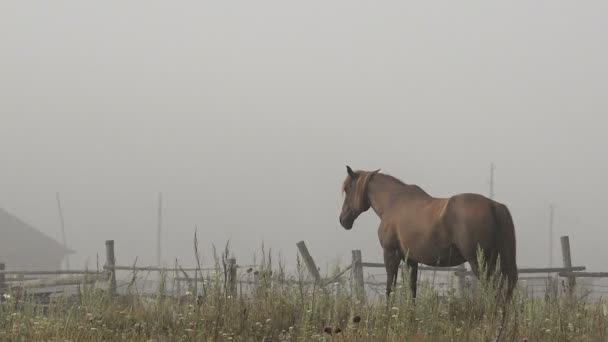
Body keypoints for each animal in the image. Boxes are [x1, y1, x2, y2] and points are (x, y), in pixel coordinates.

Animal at [338, 166, 516, 300]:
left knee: (494, 291)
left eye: (347, 189)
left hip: (480, 262)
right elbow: (412, 291)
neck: (393, 202)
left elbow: (390, 288)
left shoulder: (390, 254)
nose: (342, 220)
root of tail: (494, 205)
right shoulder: (411, 260)